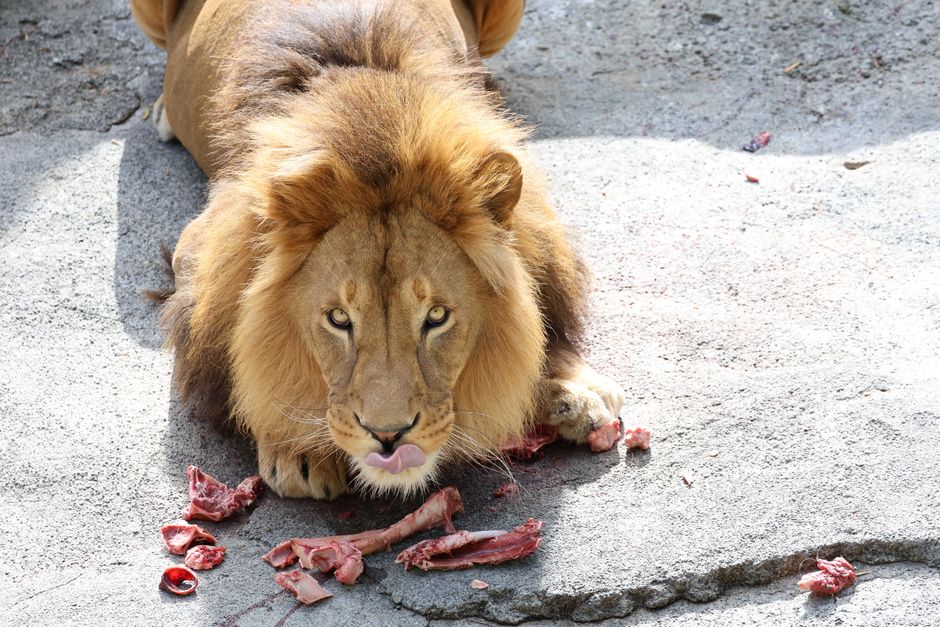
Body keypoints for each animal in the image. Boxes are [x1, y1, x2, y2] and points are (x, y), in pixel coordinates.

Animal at [132, 0, 625, 499]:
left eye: (437, 317)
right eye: (338, 319)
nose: (388, 437)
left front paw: (573, 390)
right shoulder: (195, 248)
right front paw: (297, 448)